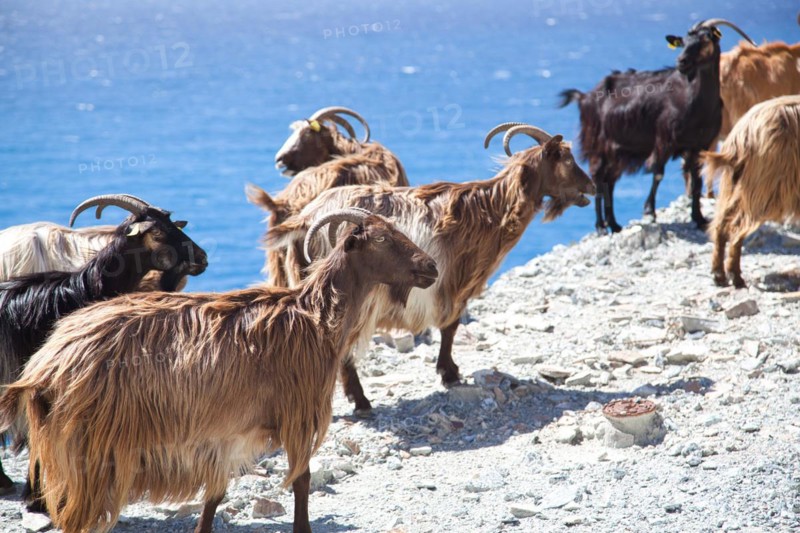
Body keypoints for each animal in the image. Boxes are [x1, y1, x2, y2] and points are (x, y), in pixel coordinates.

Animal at [267, 122, 595, 414]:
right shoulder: (455, 281)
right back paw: (361, 401)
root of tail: (303, 220)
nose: (591, 186)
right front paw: (450, 373)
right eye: (567, 159)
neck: (489, 210)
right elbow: (451, 327)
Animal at [559, 19, 754, 234]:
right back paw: (601, 226)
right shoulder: (664, 139)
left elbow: (697, 180)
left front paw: (699, 218)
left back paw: (614, 225)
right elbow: (658, 173)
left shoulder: (700, 144)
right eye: (683, 42)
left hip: (618, 152)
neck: (694, 102)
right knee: (598, 179)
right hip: (598, 145)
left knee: (609, 181)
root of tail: (584, 97)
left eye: (705, 40)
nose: (681, 62)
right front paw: (650, 212)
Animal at [706, 95, 800, 288]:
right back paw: (735, 277)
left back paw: (719, 275)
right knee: (736, 229)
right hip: (762, 188)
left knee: (721, 224)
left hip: (735, 186)